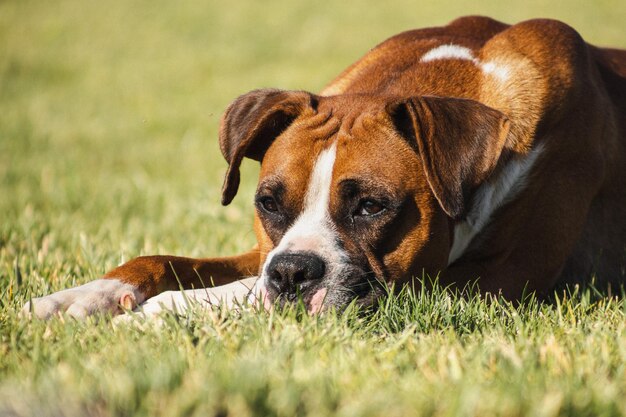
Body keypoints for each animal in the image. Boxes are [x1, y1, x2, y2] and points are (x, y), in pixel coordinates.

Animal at [23, 15, 624, 316]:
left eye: (371, 206)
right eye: (268, 203)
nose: (292, 274)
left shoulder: (489, 280)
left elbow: (237, 291)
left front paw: (159, 313)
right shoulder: (261, 249)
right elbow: (163, 261)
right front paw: (79, 299)